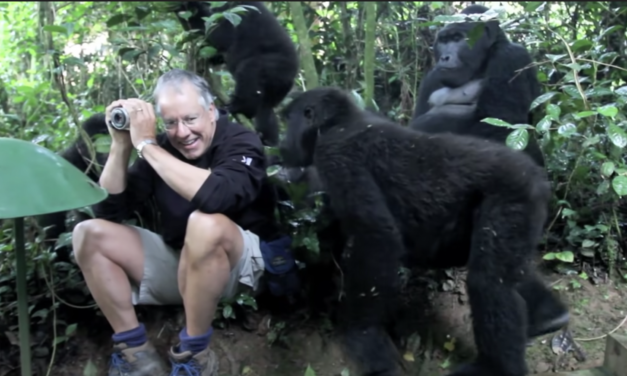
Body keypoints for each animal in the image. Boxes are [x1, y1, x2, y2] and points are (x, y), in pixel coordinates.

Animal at [170, 1, 300, 145]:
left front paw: (187, 5)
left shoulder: (236, 14)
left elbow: (218, 34)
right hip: (276, 90)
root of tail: (291, 77)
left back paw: (241, 107)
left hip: (274, 67)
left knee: (249, 71)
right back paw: (268, 140)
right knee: (265, 108)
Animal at [278, 86, 568, 376]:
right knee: (498, 267)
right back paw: (549, 316)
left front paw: (365, 335)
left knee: (488, 282)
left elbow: (376, 236)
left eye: (289, 120)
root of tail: (538, 176)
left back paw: (497, 368)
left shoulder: (336, 155)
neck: (340, 121)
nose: (282, 144)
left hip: (514, 196)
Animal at [410, 5, 548, 167]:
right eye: (444, 41)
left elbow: (502, 126)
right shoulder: (432, 78)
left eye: (457, 39)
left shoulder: (510, 56)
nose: (444, 57)